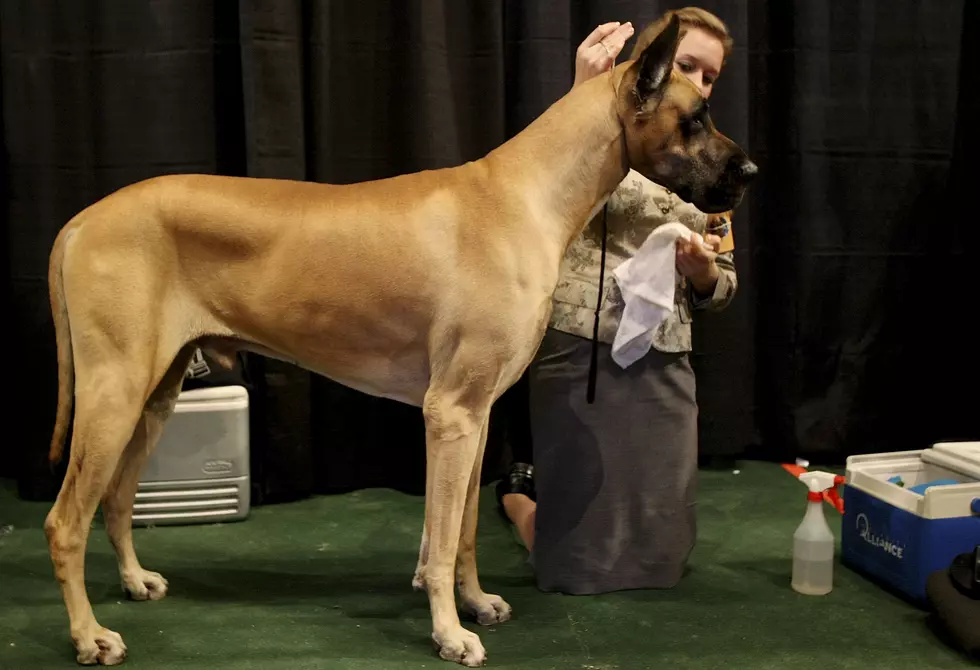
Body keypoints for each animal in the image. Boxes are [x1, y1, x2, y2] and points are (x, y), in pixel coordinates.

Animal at [42, 18, 756, 668]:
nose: (750, 170)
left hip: (152, 397)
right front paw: (448, 632)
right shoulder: (451, 413)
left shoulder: (476, 416)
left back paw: (134, 582)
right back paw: (88, 635)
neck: (529, 196)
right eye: (695, 117)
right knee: (65, 521)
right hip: (113, 392)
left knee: (115, 500)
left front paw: (475, 603)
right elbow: (439, 542)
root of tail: (82, 219)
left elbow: (462, 530)